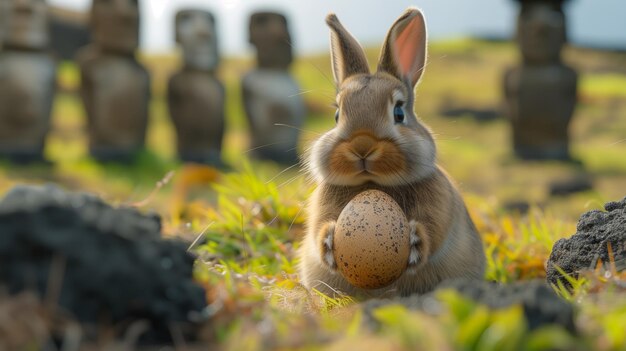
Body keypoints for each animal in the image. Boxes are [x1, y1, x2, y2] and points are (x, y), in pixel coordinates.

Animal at [296, 7, 482, 300]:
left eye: (398, 112)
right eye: (337, 115)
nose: (362, 146)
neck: (373, 184)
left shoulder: (440, 208)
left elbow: (432, 230)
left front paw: (415, 242)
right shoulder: (320, 208)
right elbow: (318, 227)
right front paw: (328, 243)